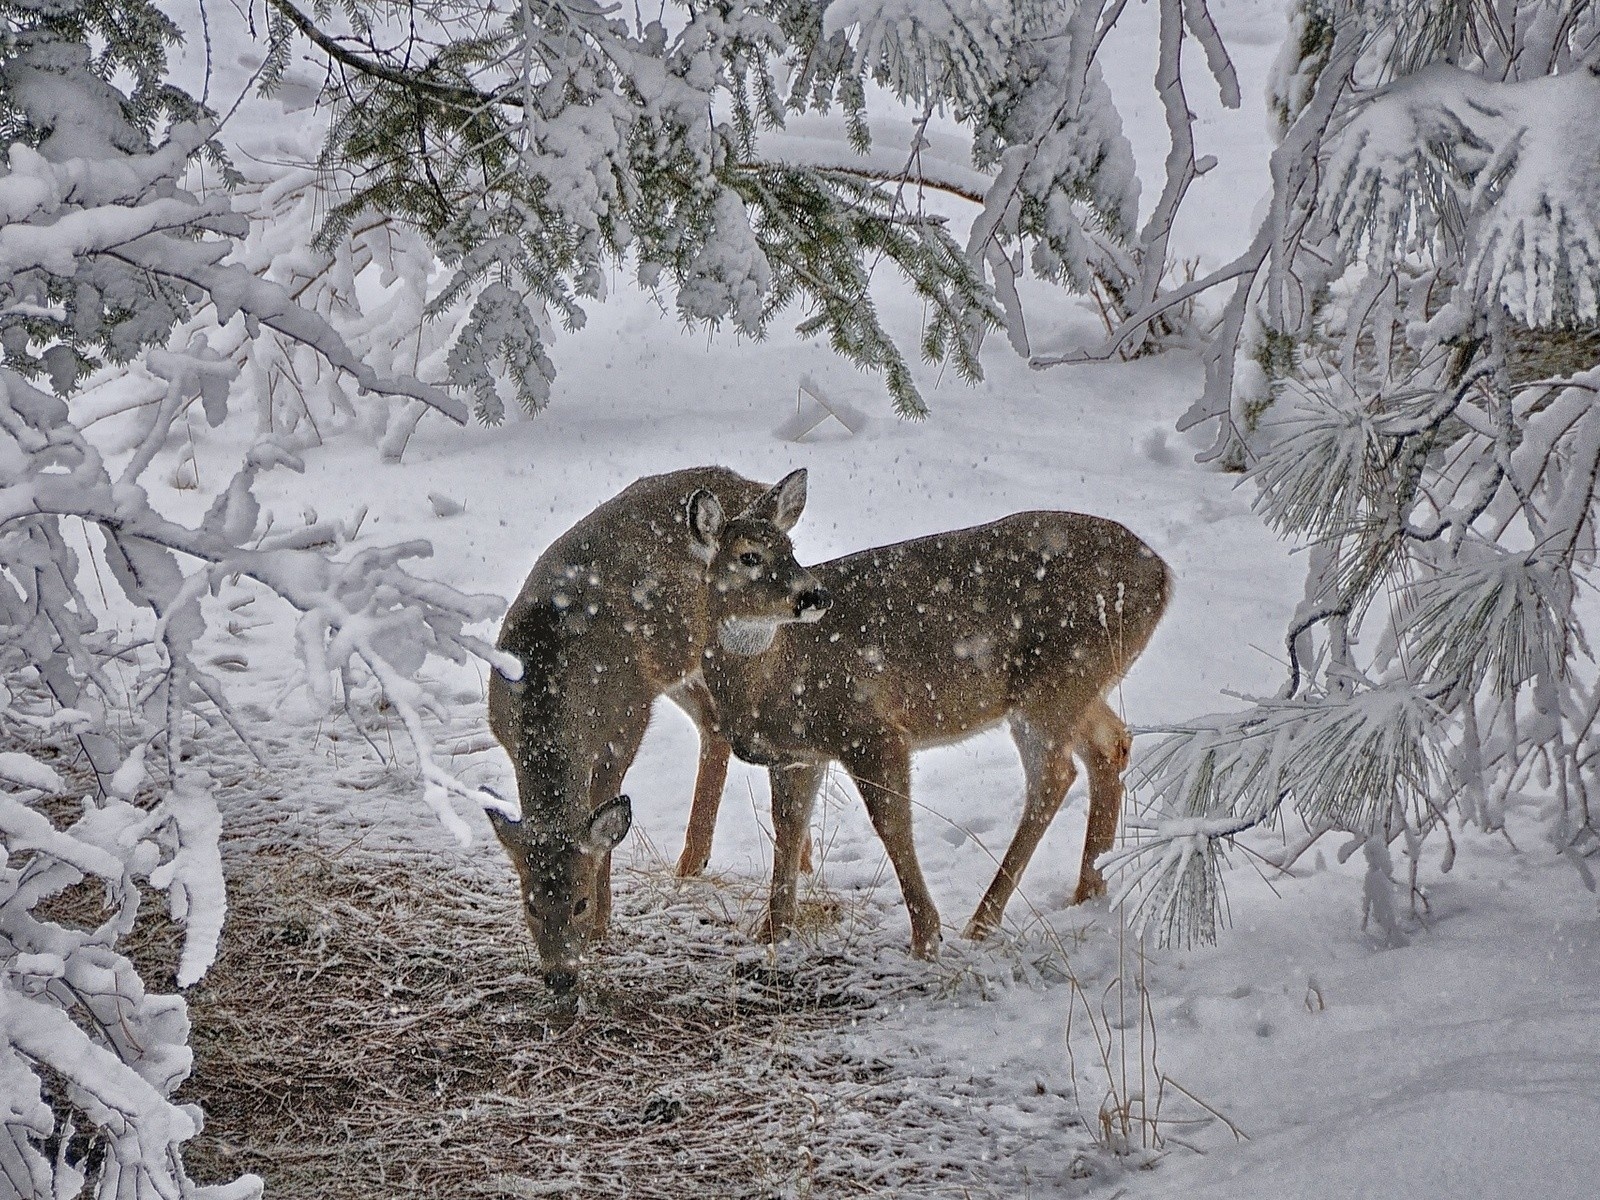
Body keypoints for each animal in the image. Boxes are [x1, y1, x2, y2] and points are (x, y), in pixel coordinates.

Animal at [483, 464, 819, 992]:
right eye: (530, 904)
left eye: (578, 902)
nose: (560, 977)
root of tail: (752, 486)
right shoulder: (504, 732)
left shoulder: (627, 720)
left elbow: (604, 815)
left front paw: (603, 925)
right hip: (679, 664)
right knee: (714, 726)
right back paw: (699, 863)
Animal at [681, 473, 1171, 966]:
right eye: (750, 556)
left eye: (790, 547)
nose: (814, 595)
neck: (771, 678)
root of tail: (1163, 575)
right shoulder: (797, 755)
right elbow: (787, 830)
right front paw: (770, 933)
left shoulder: (871, 729)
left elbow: (892, 825)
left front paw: (925, 937)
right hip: (1080, 685)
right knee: (1111, 745)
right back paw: (1089, 890)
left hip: (1057, 682)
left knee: (1054, 775)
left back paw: (983, 921)